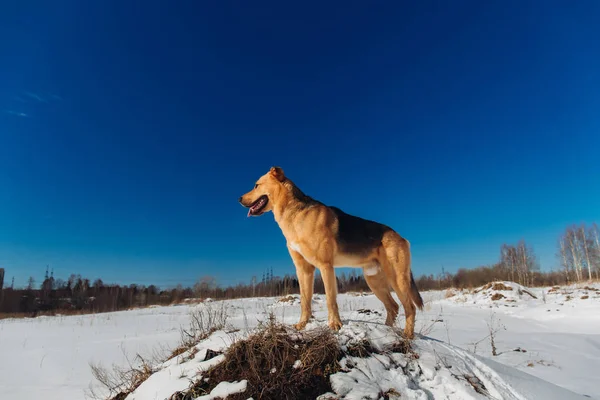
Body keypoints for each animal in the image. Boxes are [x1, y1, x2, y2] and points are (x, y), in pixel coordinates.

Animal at [237, 166, 424, 338]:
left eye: (256, 185)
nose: (238, 199)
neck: (296, 214)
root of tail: (401, 237)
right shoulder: (304, 270)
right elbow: (305, 301)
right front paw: (302, 325)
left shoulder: (325, 267)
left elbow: (330, 300)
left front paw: (335, 325)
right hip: (374, 281)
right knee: (393, 307)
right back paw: (387, 332)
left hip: (397, 279)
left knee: (410, 308)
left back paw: (407, 335)